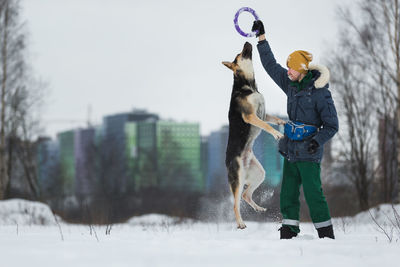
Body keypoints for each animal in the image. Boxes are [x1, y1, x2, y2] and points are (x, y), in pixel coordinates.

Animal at [222, 42, 284, 230]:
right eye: (239, 54)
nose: (248, 42)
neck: (248, 86)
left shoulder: (262, 113)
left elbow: (272, 119)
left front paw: (283, 122)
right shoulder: (251, 116)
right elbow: (266, 125)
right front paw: (277, 134)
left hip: (258, 174)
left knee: (245, 196)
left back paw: (259, 208)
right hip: (239, 177)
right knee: (236, 204)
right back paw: (241, 223)